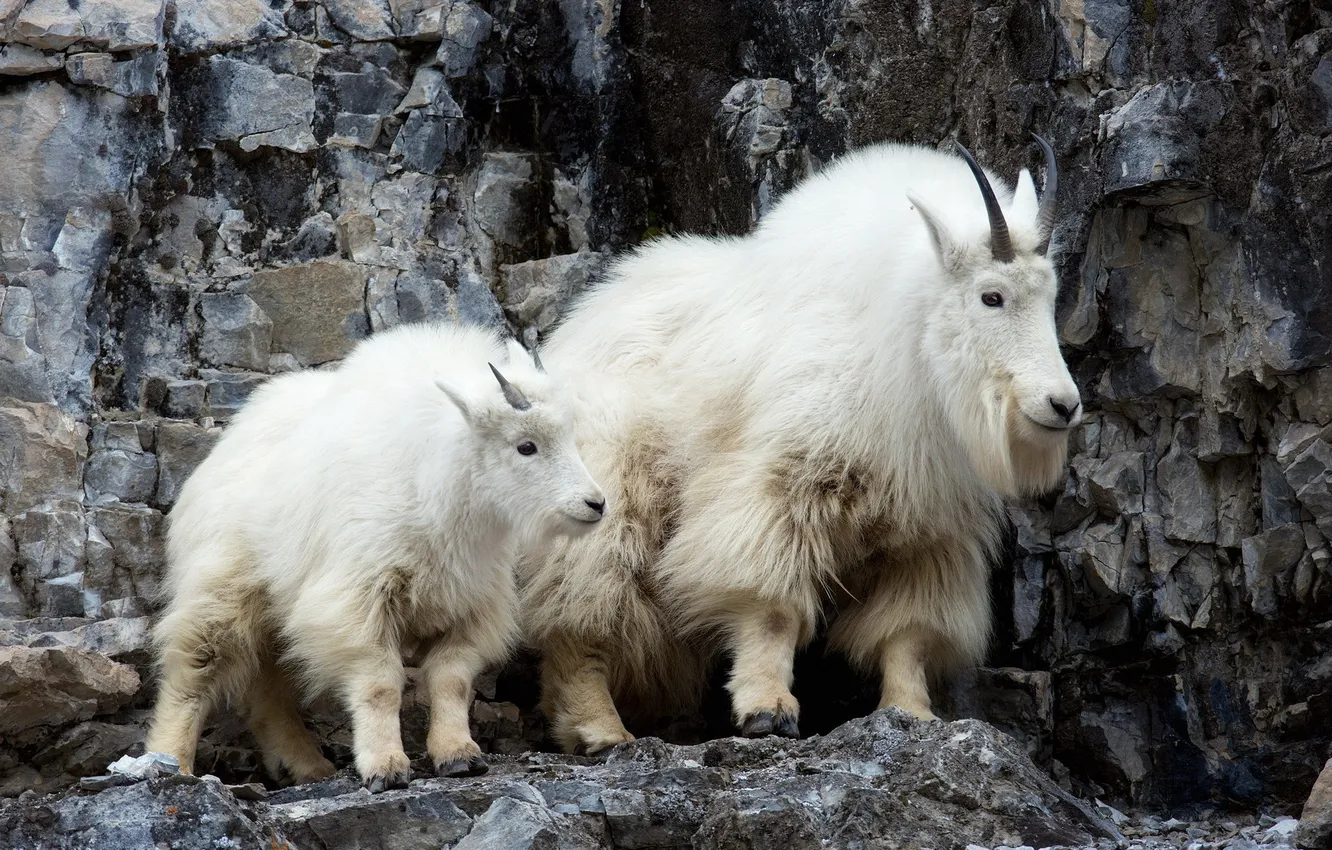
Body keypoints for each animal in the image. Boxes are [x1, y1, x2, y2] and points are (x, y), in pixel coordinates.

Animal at [146, 323, 606, 790]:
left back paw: (305, 765)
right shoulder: (358, 601)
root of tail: (227, 444)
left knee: (269, 689)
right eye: (525, 446)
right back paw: (170, 761)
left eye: (568, 435)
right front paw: (385, 767)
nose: (595, 504)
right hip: (223, 586)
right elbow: (381, 685)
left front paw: (459, 755)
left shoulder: (470, 605)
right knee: (194, 670)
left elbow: (452, 680)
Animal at [522, 136, 1080, 753]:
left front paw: (912, 713)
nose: (1062, 405)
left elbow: (908, 631)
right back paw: (601, 728)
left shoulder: (930, 530)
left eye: (1051, 295)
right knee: (584, 609)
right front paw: (767, 709)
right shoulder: (781, 488)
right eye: (991, 296)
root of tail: (569, 335)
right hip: (601, 493)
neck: (905, 344)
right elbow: (771, 606)